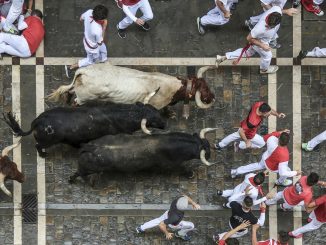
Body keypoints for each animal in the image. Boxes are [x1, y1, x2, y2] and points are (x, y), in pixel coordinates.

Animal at [1, 103, 166, 157]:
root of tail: (37, 121)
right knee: (38, 145)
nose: (165, 124)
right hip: (47, 141)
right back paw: (43, 155)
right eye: (154, 119)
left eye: (156, 111)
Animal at [45, 63, 214, 113]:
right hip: (84, 97)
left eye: (207, 85)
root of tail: (84, 71)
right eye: (204, 90)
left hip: (78, 90)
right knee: (76, 101)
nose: (213, 97)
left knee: (69, 91)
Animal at [69, 129, 218, 183]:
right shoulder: (173, 165)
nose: (211, 155)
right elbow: (183, 168)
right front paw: (190, 174)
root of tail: (89, 147)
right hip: (88, 169)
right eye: (206, 151)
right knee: (79, 173)